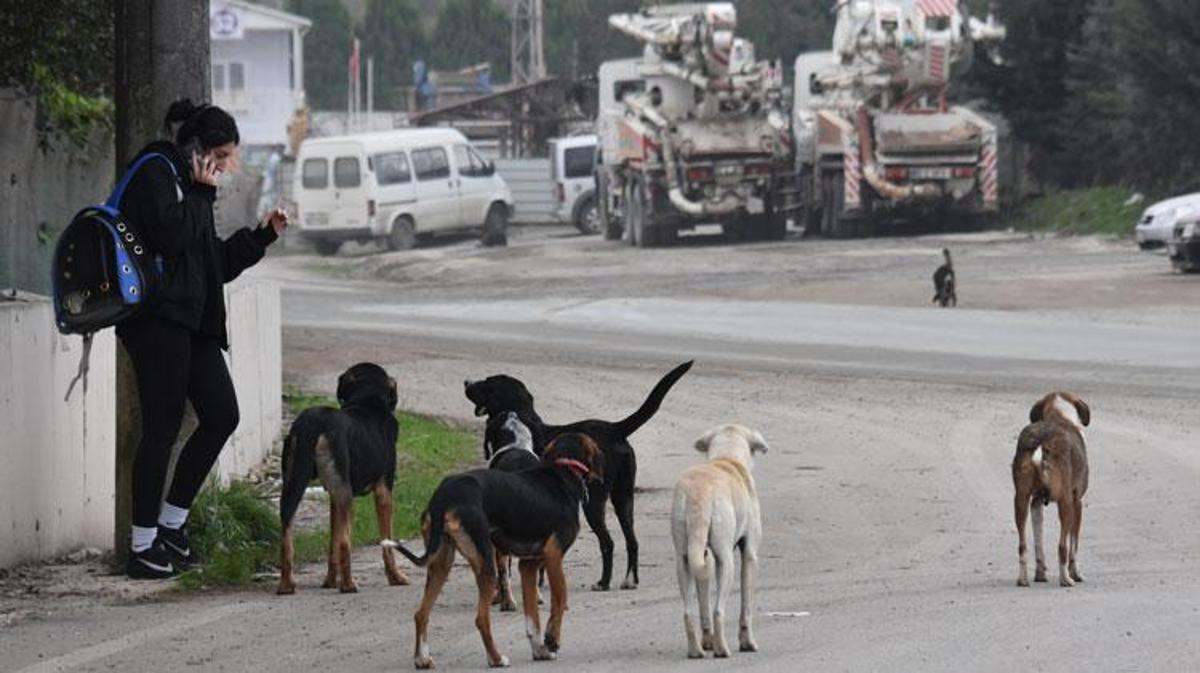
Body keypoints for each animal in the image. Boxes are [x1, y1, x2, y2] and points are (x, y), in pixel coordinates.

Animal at [274, 362, 408, 592]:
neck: (367, 400)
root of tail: (313, 424)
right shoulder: (384, 490)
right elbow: (386, 543)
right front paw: (396, 577)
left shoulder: (333, 497)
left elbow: (332, 543)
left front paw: (329, 581)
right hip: (346, 495)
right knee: (346, 542)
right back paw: (348, 584)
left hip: (293, 483)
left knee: (286, 534)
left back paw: (286, 584)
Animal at [391, 429, 604, 667]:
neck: (563, 471)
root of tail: (444, 496)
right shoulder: (554, 556)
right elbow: (560, 599)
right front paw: (552, 640)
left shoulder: (528, 565)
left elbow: (532, 616)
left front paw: (540, 650)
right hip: (485, 563)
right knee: (481, 619)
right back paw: (495, 658)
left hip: (441, 564)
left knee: (421, 613)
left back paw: (422, 659)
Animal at [465, 362, 700, 587]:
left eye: (487, 384)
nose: (466, 382)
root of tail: (616, 429)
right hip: (623, 497)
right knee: (632, 541)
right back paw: (629, 580)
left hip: (593, 502)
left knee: (607, 542)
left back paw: (604, 582)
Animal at [667, 424, 768, 657]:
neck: (727, 458)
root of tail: (699, 493)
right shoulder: (750, 555)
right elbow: (746, 606)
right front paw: (747, 643)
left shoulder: (704, 556)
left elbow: (703, 602)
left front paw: (707, 642)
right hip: (726, 562)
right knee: (718, 610)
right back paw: (722, 649)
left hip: (684, 558)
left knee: (689, 611)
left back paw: (696, 650)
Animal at [1012, 391, 1089, 585]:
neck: (1058, 415)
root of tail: (1041, 441)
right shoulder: (1077, 502)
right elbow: (1074, 545)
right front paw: (1076, 573)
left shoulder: (1036, 502)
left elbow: (1038, 540)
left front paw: (1040, 573)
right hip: (1065, 503)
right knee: (1062, 546)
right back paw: (1066, 579)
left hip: (1020, 499)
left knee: (1022, 545)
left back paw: (1023, 579)